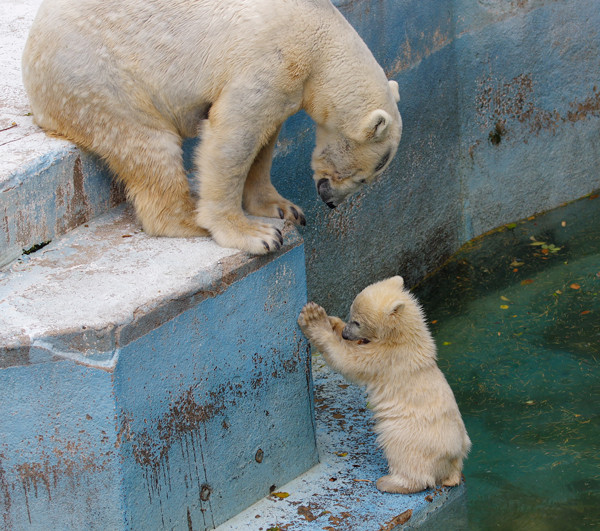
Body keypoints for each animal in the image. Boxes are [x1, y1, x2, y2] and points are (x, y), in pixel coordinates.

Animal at [23, 0, 400, 254]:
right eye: (364, 176)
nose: (331, 201)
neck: (320, 37)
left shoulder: (288, 82)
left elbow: (266, 137)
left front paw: (284, 208)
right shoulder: (272, 59)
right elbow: (233, 133)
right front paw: (257, 234)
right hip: (99, 77)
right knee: (148, 145)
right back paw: (189, 218)